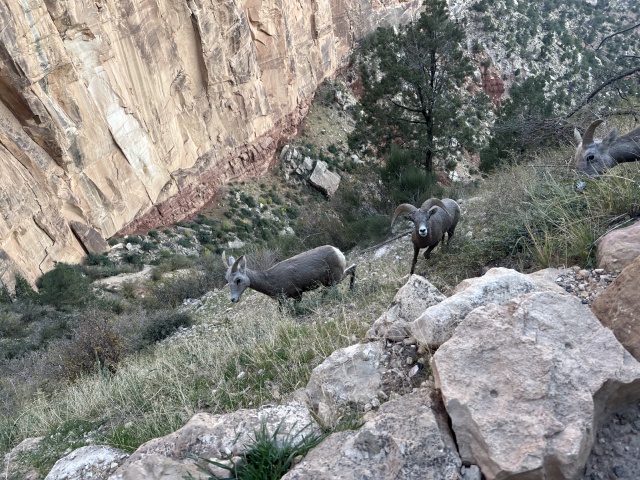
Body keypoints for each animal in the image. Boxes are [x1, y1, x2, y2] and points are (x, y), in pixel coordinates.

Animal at [222, 245, 356, 305]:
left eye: (238, 280)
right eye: (227, 280)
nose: (233, 299)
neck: (269, 280)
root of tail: (337, 251)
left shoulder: (297, 294)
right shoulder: (282, 300)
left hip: (335, 279)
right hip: (330, 281)